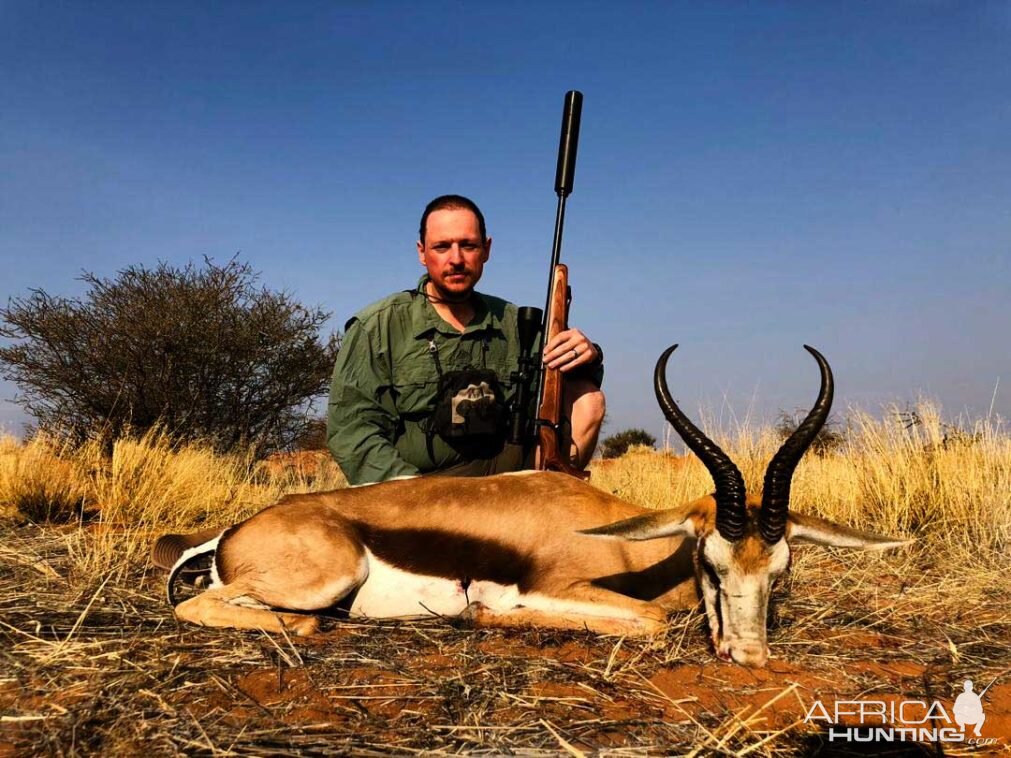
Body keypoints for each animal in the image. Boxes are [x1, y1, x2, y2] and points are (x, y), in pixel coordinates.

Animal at [157, 347, 909, 667]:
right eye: (713, 564)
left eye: (779, 570)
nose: (750, 656)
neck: (624, 541)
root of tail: (235, 531)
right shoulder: (557, 586)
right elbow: (648, 623)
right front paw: (482, 616)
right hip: (328, 578)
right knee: (201, 607)